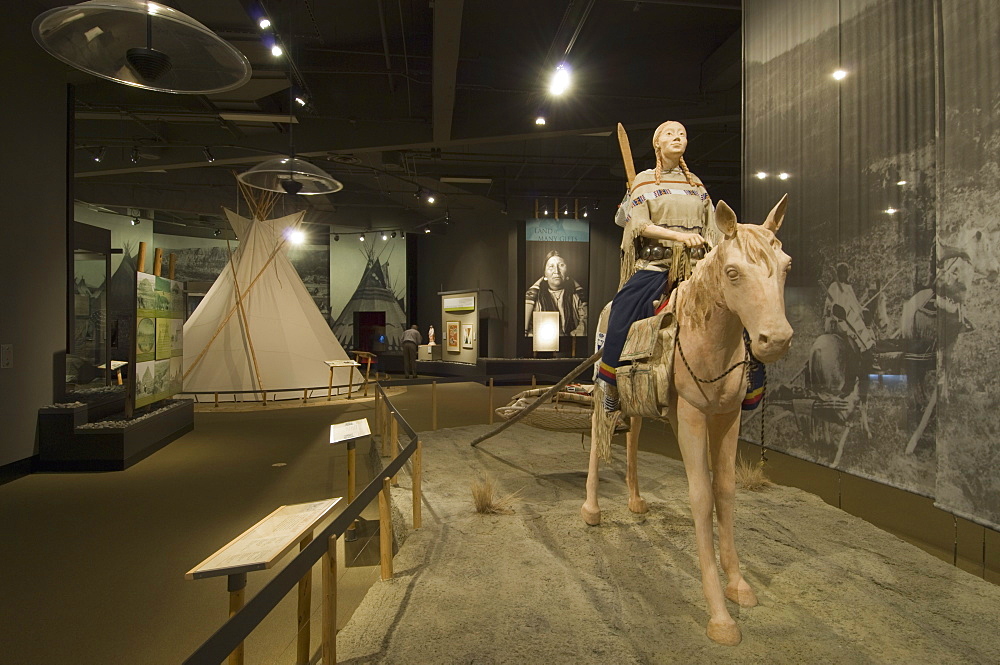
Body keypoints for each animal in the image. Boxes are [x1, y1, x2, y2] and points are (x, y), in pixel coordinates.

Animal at [584, 193, 792, 644]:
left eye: (786, 266)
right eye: (732, 272)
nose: (775, 340)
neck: (709, 339)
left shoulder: (727, 417)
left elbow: (726, 491)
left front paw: (739, 585)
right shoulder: (694, 417)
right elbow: (700, 496)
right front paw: (720, 616)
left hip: (640, 402)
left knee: (633, 436)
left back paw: (635, 500)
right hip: (604, 391)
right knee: (597, 434)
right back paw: (591, 509)